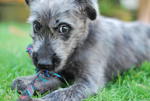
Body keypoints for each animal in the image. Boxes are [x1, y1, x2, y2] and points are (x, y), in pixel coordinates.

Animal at [11, 0, 150, 101]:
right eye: (36, 26)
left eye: (64, 28)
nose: (43, 64)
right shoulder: (61, 74)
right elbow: (21, 82)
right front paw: (28, 81)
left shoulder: (88, 82)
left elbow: (61, 94)